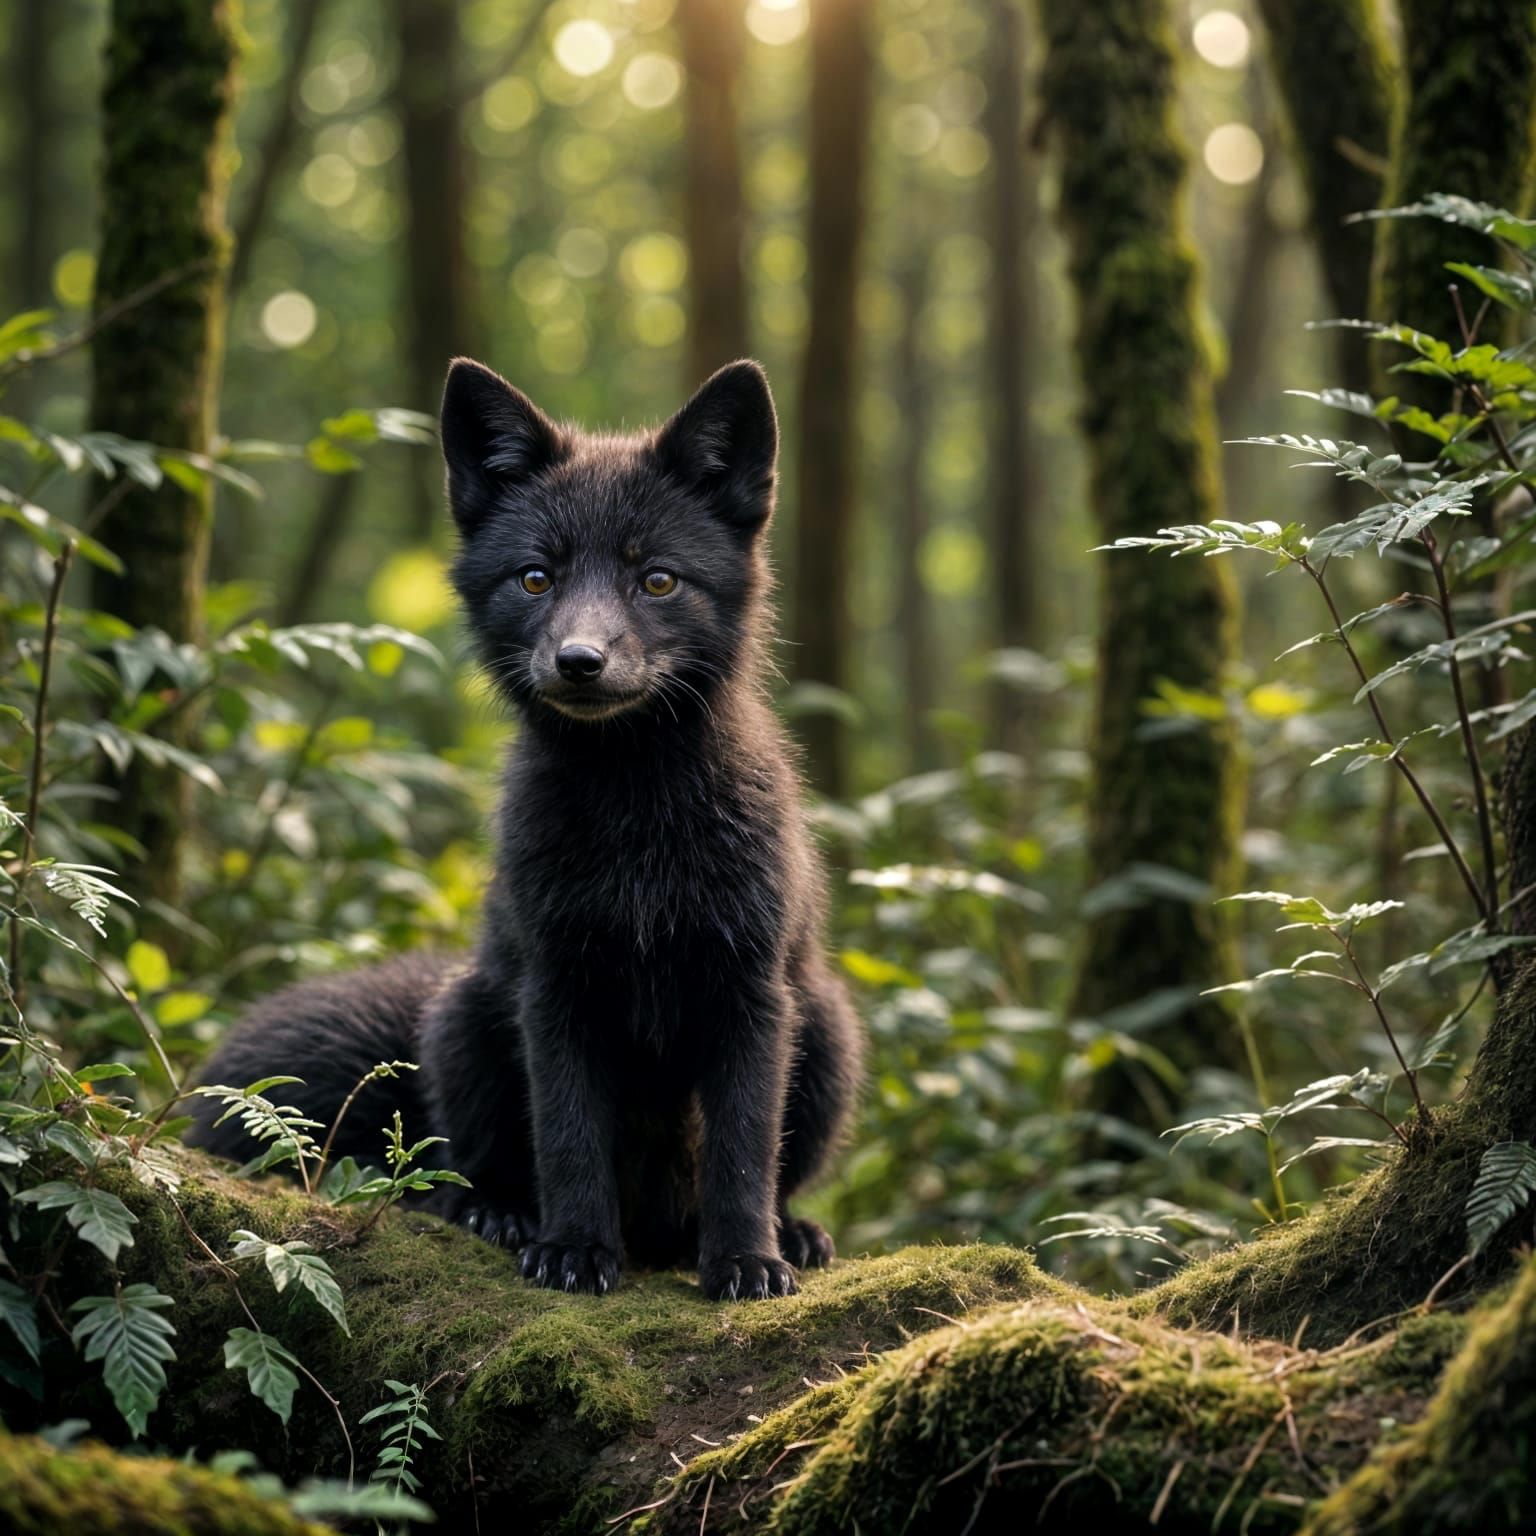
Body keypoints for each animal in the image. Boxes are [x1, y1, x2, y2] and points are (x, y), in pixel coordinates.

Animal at [188, 358, 865, 1301]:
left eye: (657, 580)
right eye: (535, 578)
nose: (579, 661)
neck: (636, 827)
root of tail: (656, 1228)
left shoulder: (751, 992)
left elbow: (742, 1154)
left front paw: (744, 1262)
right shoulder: (556, 989)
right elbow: (569, 1140)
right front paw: (574, 1250)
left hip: (828, 1028)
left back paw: (788, 1233)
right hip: (464, 1018)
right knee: (463, 1170)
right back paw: (501, 1216)